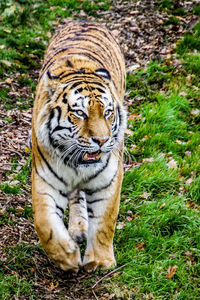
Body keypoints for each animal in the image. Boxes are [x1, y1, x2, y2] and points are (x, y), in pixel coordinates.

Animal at [32, 18, 127, 272]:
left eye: (107, 112)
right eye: (80, 113)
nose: (102, 141)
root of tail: (84, 19)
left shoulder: (109, 179)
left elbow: (105, 221)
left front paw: (100, 262)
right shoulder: (44, 180)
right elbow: (45, 224)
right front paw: (67, 256)